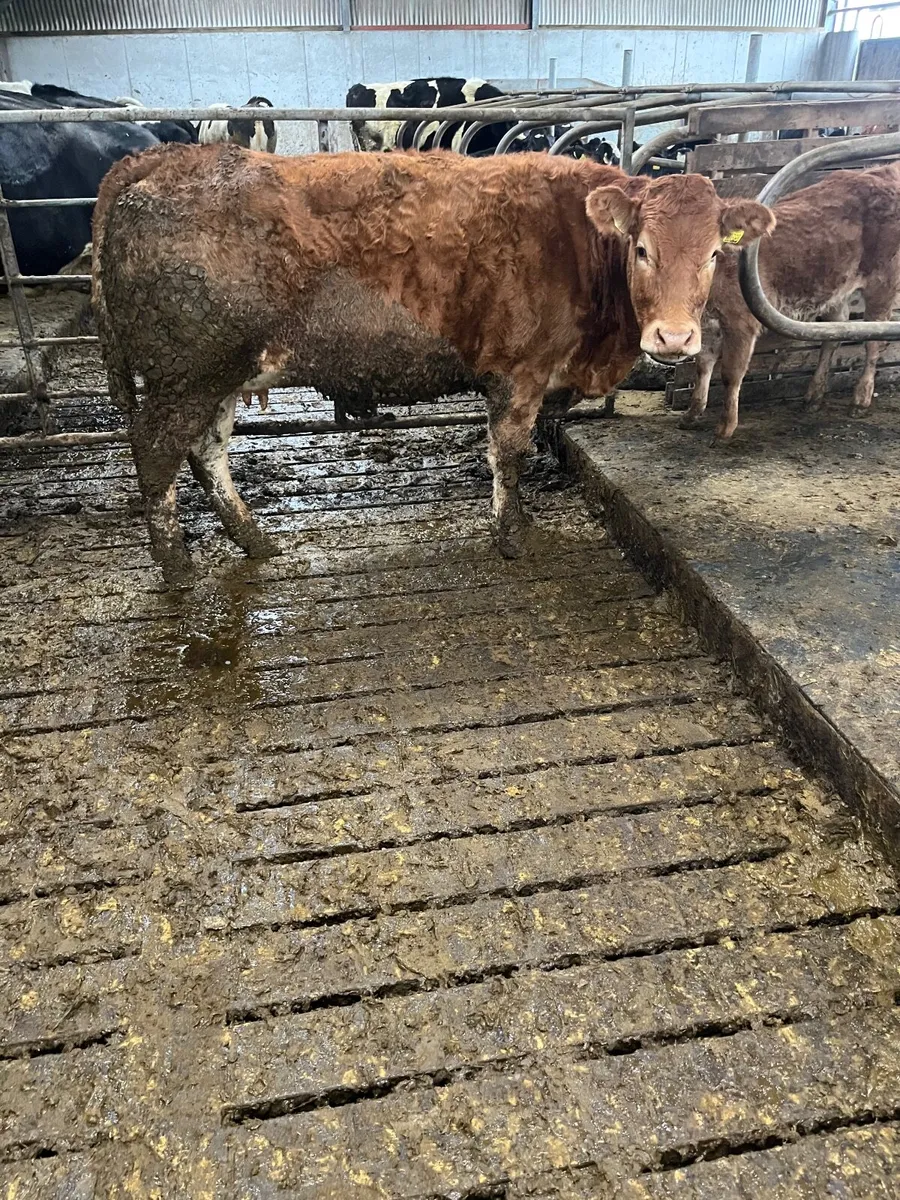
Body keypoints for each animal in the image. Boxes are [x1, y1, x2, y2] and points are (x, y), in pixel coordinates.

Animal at [93, 145, 772, 586]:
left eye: (715, 253)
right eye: (642, 249)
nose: (675, 338)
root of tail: (168, 156)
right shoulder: (519, 373)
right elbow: (510, 455)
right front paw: (511, 535)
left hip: (221, 374)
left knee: (205, 452)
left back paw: (255, 541)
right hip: (187, 373)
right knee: (155, 453)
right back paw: (178, 569)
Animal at [679, 162, 900, 440]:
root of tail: (883, 171)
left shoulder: (741, 322)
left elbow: (730, 373)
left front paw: (725, 427)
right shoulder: (709, 324)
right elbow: (703, 365)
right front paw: (692, 413)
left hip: (884, 281)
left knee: (874, 340)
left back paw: (860, 399)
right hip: (835, 287)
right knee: (835, 331)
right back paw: (814, 395)